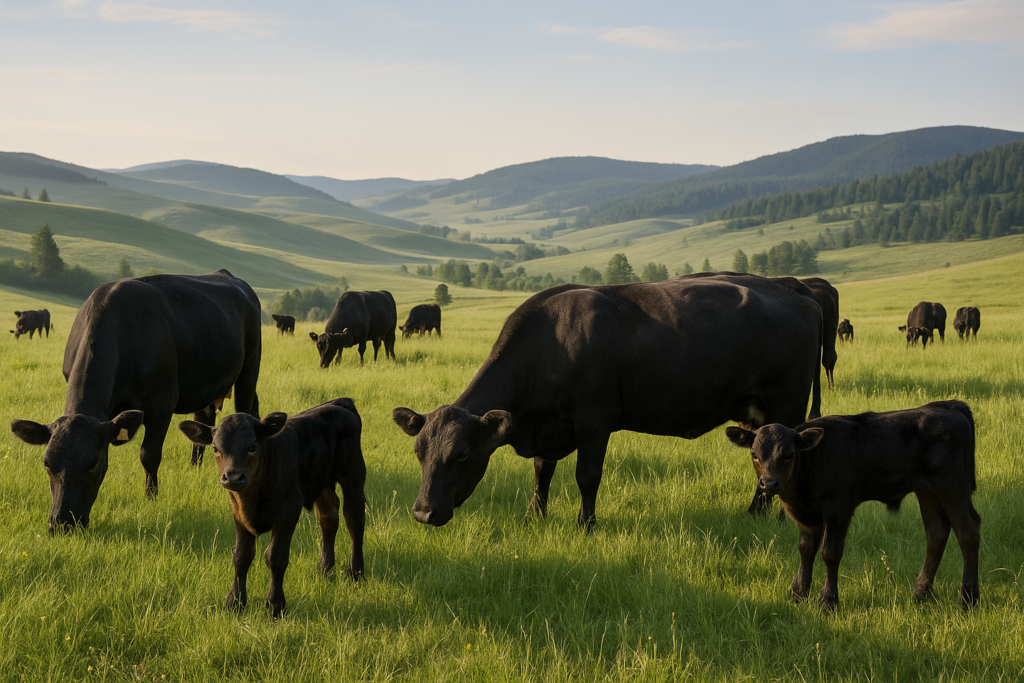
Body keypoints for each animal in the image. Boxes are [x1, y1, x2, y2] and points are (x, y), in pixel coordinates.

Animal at [10, 270, 262, 533]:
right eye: (47, 463)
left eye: (93, 463)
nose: (62, 523)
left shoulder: (162, 403)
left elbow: (149, 455)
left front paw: (151, 499)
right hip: (207, 382)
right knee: (205, 419)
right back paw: (195, 468)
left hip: (249, 368)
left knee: (246, 411)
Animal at [178, 398, 366, 618]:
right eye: (215, 448)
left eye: (252, 446)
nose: (233, 477)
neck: (253, 497)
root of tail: (340, 403)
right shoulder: (238, 515)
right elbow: (240, 556)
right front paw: (235, 603)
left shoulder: (288, 511)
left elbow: (275, 557)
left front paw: (275, 606)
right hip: (323, 484)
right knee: (328, 518)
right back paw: (325, 568)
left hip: (353, 476)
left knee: (354, 519)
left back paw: (355, 573)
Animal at [393, 274, 824, 531]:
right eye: (418, 451)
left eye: (462, 453)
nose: (423, 512)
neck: (550, 343)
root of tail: (790, 286)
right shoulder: (549, 424)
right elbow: (542, 471)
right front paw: (535, 515)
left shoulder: (594, 420)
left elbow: (587, 476)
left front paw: (586, 524)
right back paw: (754, 514)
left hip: (786, 408)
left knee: (779, 460)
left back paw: (774, 518)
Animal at [725, 400, 980, 611]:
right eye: (754, 454)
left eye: (789, 454)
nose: (769, 483)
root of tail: (950, 406)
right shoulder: (807, 516)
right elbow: (805, 549)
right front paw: (798, 594)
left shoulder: (838, 508)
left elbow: (830, 552)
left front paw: (828, 601)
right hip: (927, 491)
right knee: (936, 533)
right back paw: (920, 593)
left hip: (952, 486)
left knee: (968, 530)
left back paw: (968, 598)